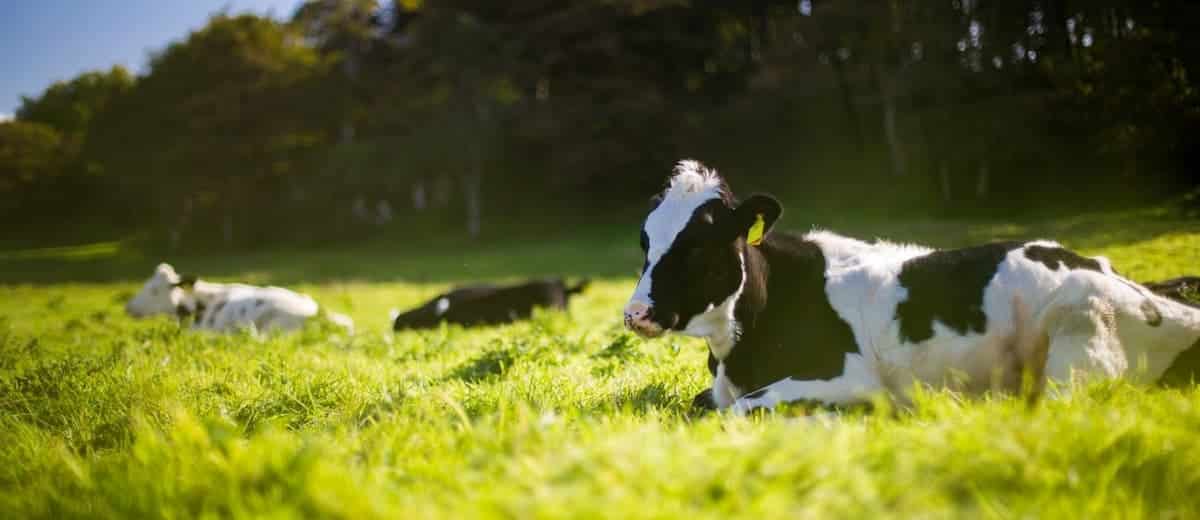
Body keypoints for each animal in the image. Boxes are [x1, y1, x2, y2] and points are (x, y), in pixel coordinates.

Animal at [624, 158, 1200, 413]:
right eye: (645, 240)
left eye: (698, 245)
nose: (635, 313)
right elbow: (705, 404)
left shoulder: (848, 376)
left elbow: (741, 409)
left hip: (1078, 342)